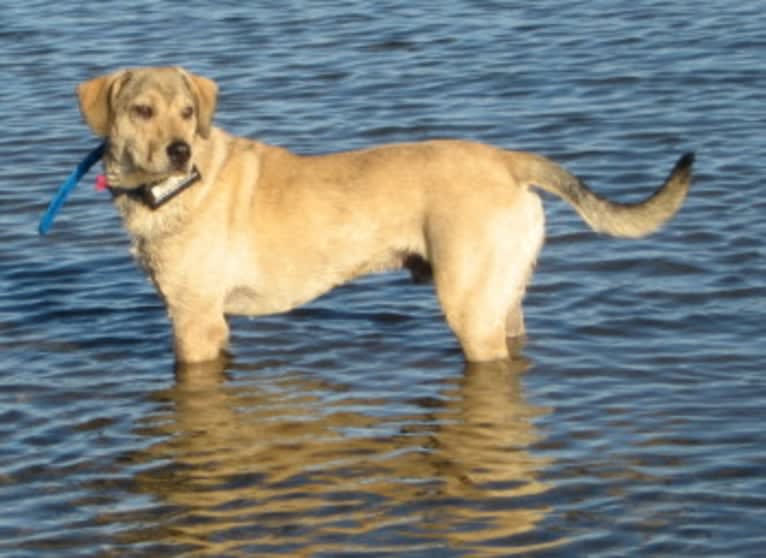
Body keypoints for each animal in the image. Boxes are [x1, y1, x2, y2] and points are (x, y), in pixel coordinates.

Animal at [76, 66, 696, 364]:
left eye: (187, 112)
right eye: (141, 111)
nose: (180, 150)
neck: (173, 191)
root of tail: (507, 160)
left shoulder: (194, 322)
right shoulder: (207, 321)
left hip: (469, 306)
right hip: (503, 297)